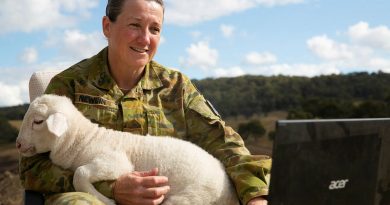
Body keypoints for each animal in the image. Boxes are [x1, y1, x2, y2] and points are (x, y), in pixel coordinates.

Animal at [16, 94, 241, 205]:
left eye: (38, 121)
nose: (18, 144)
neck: (82, 140)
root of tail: (229, 193)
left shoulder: (115, 163)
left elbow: (79, 174)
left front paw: (106, 200)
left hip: (190, 198)